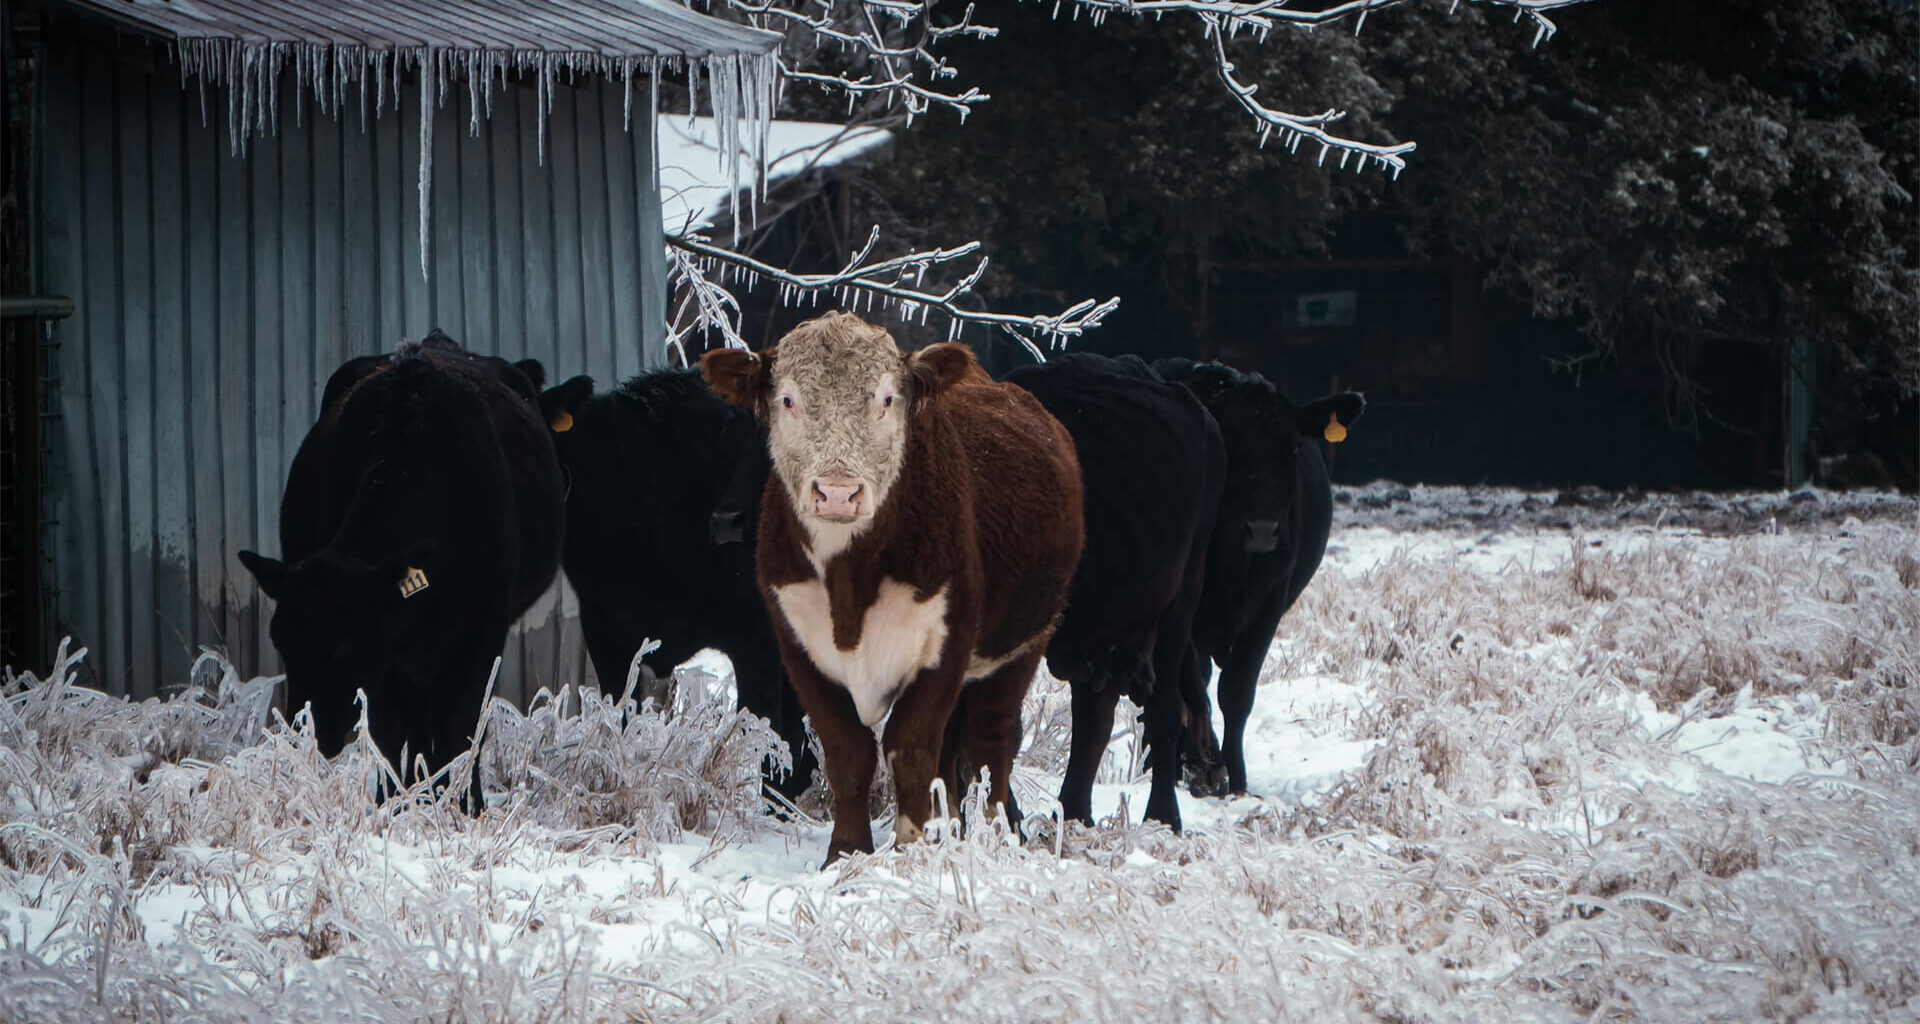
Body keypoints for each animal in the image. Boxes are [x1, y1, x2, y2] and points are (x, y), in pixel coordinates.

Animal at [239, 331, 564, 804]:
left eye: (343, 644)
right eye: (279, 640)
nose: (311, 730)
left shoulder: (481, 630)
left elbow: (464, 729)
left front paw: (462, 803)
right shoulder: (385, 654)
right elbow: (389, 733)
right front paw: (391, 803)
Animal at [702, 312, 1084, 865]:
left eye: (886, 398)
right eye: (788, 399)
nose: (837, 492)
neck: (849, 587)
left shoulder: (944, 645)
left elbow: (910, 748)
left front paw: (909, 848)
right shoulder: (798, 647)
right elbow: (848, 753)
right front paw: (846, 854)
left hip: (1024, 643)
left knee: (992, 742)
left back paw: (995, 834)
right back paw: (951, 829)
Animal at [1151, 358, 1364, 798]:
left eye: (1293, 448)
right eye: (1230, 446)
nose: (1263, 529)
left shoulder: (1270, 604)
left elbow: (1237, 691)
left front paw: (1237, 779)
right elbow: (1189, 684)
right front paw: (1202, 766)